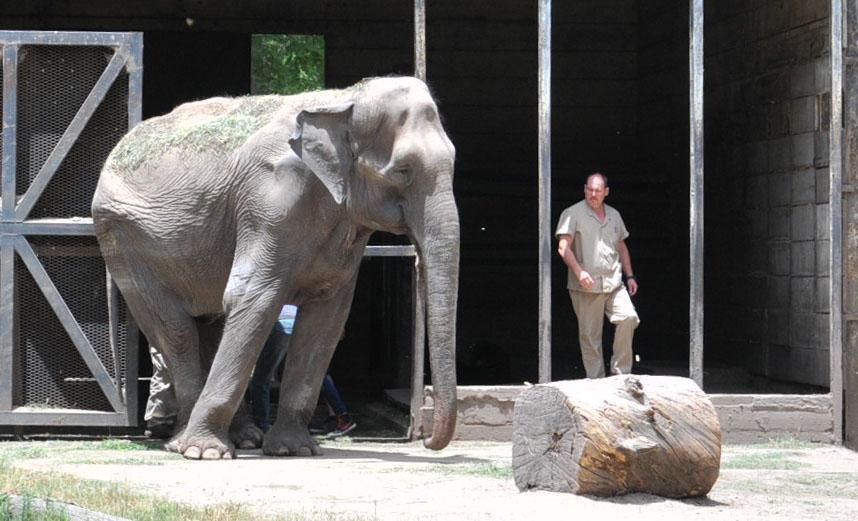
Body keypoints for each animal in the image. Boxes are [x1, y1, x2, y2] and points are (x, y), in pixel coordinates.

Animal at [91, 76, 459, 459]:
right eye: (403, 170)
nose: (428, 441)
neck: (343, 101)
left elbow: (326, 319)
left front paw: (292, 450)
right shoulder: (270, 200)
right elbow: (251, 296)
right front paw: (207, 454)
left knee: (210, 323)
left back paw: (242, 439)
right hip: (124, 241)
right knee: (177, 330)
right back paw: (188, 445)